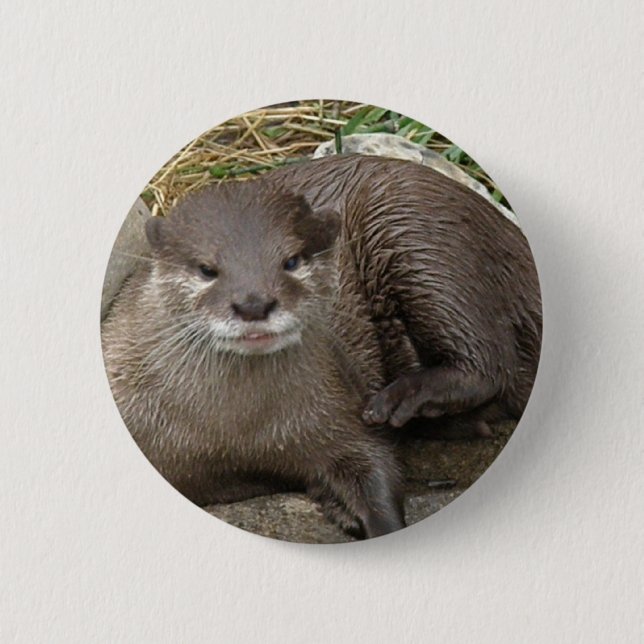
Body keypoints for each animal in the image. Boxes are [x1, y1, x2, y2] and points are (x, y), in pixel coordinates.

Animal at [101, 155, 542, 539]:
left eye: (292, 261)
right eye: (207, 269)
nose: (254, 303)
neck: (236, 437)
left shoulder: (337, 406)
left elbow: (374, 467)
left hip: (413, 226)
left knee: (489, 361)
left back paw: (405, 400)